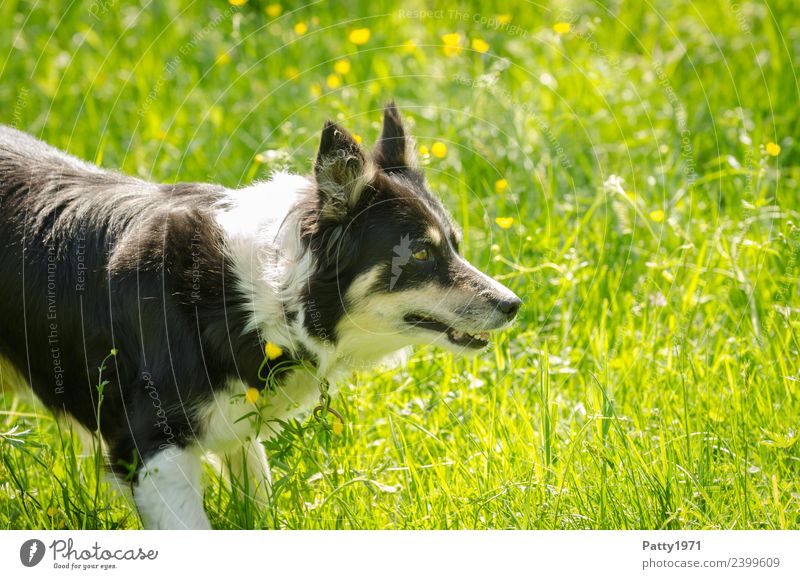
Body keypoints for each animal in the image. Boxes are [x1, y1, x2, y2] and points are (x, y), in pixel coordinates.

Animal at [0, 104, 520, 532]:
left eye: (454, 245)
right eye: (421, 254)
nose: (513, 305)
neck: (255, 298)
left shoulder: (236, 427)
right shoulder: (151, 446)